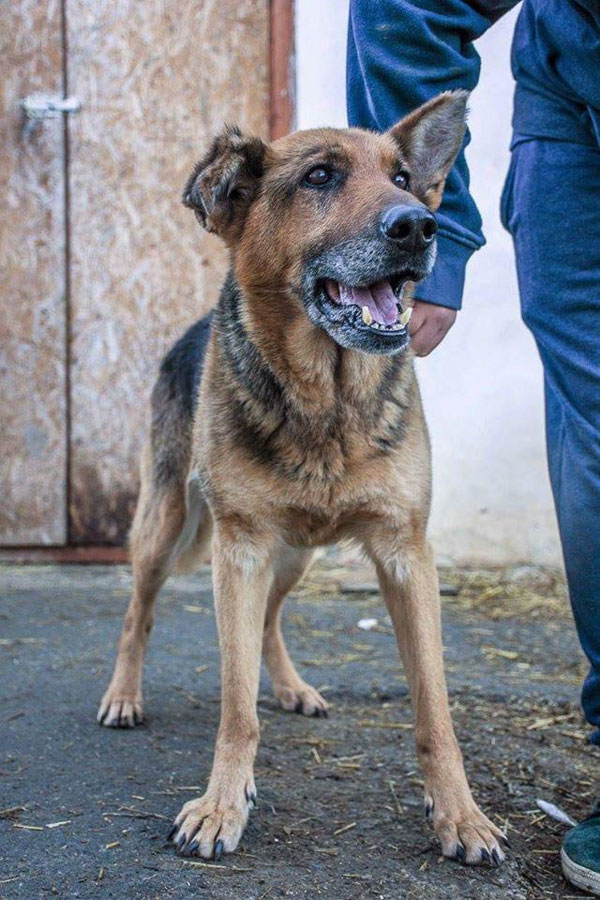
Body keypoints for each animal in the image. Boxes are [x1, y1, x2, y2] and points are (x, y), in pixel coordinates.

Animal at [97, 91, 506, 864]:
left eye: (403, 178)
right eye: (320, 177)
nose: (420, 226)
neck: (327, 402)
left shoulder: (407, 556)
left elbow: (435, 711)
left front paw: (460, 814)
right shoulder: (240, 550)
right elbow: (235, 706)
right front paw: (221, 806)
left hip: (297, 556)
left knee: (270, 620)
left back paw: (289, 687)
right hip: (167, 529)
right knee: (139, 611)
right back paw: (123, 695)